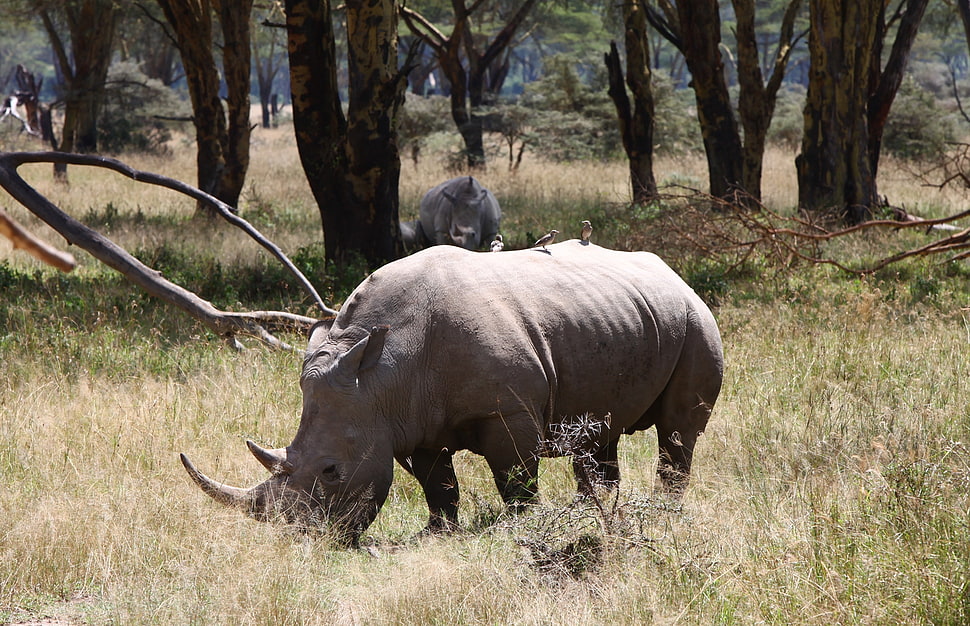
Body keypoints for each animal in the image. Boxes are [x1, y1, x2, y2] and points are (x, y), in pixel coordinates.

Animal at [180, 241, 723, 543]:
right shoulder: (404, 421)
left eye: (331, 471)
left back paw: (664, 512)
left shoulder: (507, 413)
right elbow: (437, 483)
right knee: (601, 432)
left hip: (695, 319)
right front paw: (437, 533)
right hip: (618, 315)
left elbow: (515, 478)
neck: (379, 374)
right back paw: (594, 514)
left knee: (678, 431)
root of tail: (673, 273)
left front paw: (522, 528)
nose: (300, 542)